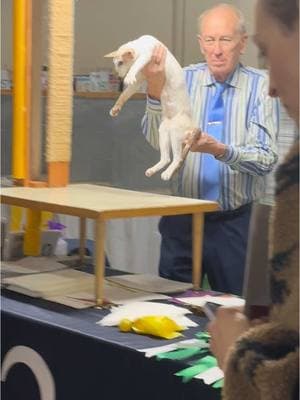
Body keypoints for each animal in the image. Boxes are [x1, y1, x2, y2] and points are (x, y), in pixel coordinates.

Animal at [104, 34, 200, 181]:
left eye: (120, 63)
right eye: (115, 64)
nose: (119, 76)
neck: (141, 43)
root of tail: (194, 126)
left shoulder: (147, 55)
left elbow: (135, 65)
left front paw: (128, 76)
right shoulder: (138, 81)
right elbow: (124, 95)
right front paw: (115, 109)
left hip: (175, 133)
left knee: (177, 159)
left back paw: (167, 174)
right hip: (163, 132)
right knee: (166, 158)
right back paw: (152, 170)